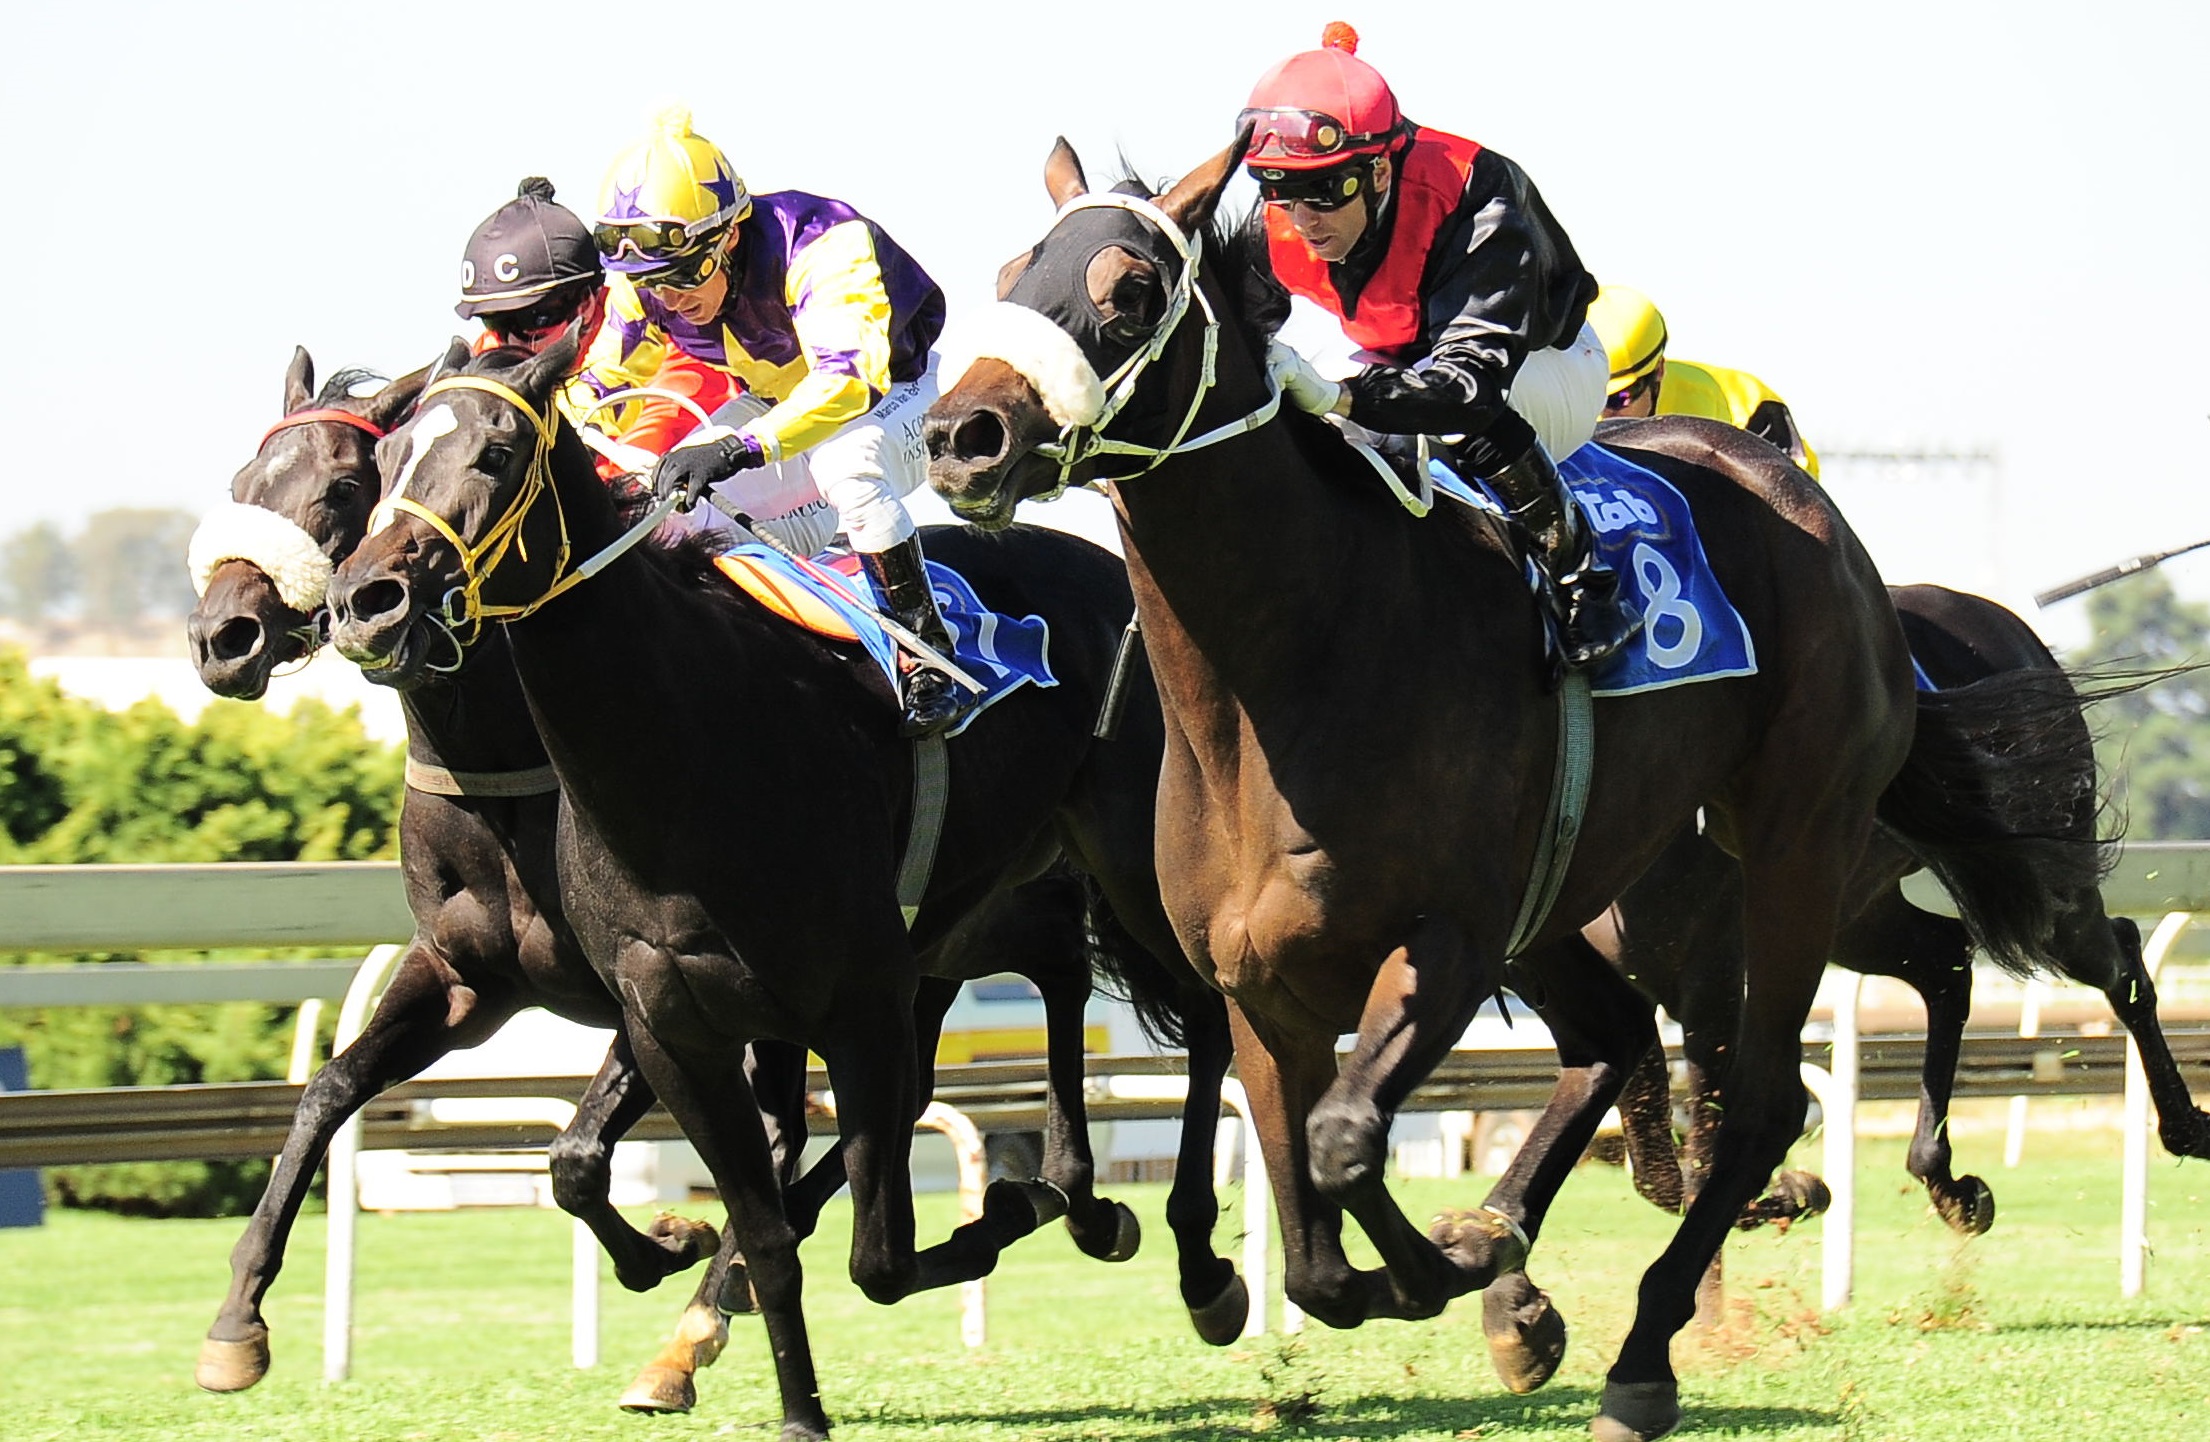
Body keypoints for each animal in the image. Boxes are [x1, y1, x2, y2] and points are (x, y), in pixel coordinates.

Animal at [190, 349, 1246, 1415]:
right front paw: (237, 1323)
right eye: (245, 482)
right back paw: (1066, 1195)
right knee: (1042, 977)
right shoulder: (473, 977)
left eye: (342, 487)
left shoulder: (671, 1005)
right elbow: (333, 1092)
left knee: (1194, 1010)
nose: (223, 636)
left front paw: (674, 1252)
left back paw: (1185, 1253)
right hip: (964, 912)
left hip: (1114, 867)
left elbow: (584, 1158)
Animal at [919, 134, 2103, 1441]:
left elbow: (1344, 1143)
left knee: (1756, 1101)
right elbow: (1315, 1247)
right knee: (1610, 1033)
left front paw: (1462, 1262)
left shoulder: (1447, 940)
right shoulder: (1261, 989)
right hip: (1573, 901)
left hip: (1793, 844)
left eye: (1127, 288)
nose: (961, 434)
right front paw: (1472, 1268)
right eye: (1010, 273)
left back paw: (1639, 1358)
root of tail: (1817, 515)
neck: (1284, 673)